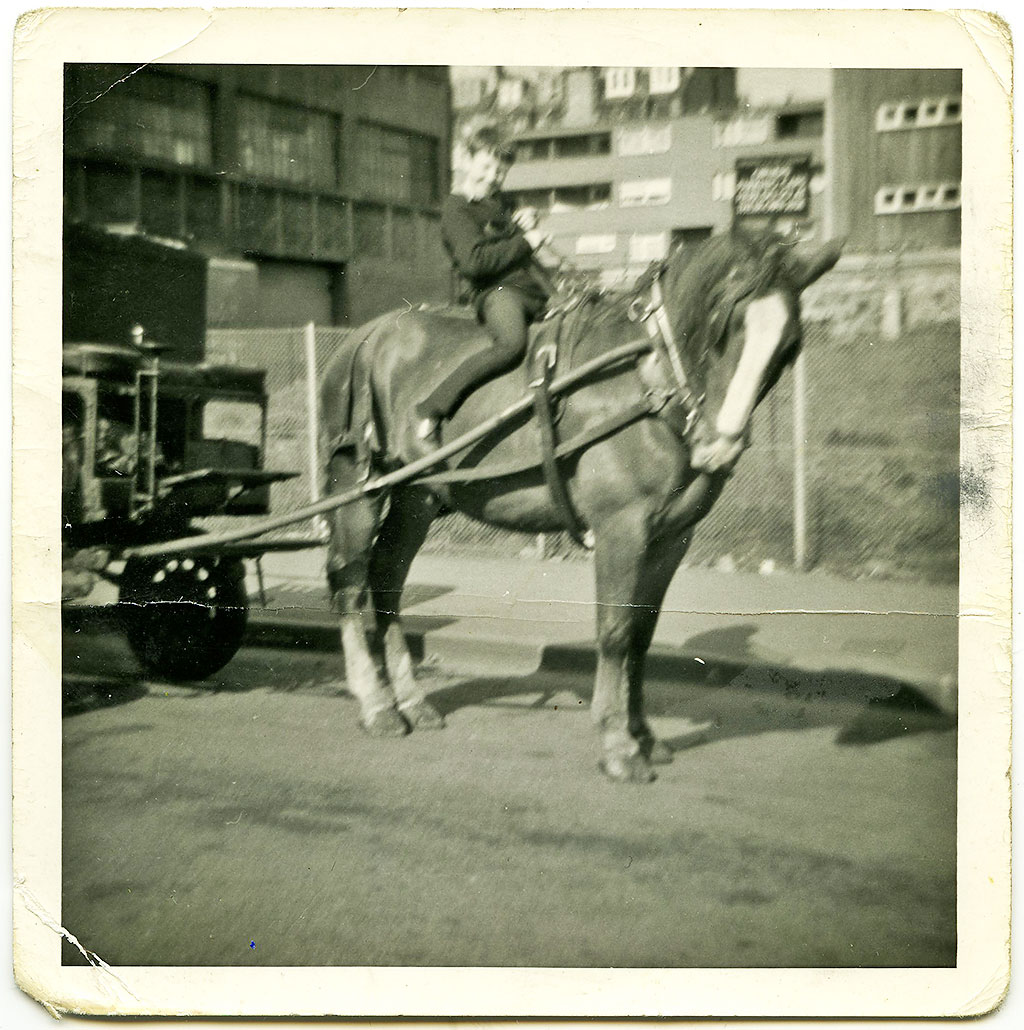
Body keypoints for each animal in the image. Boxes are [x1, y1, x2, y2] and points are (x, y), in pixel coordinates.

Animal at [319, 229, 836, 782]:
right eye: (724, 325)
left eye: (788, 346)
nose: (717, 447)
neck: (647, 378)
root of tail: (365, 336)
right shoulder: (620, 529)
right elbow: (614, 632)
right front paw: (617, 743)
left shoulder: (671, 538)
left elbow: (641, 634)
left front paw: (643, 734)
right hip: (359, 485)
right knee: (350, 582)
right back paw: (375, 703)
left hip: (417, 494)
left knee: (387, 577)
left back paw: (411, 700)